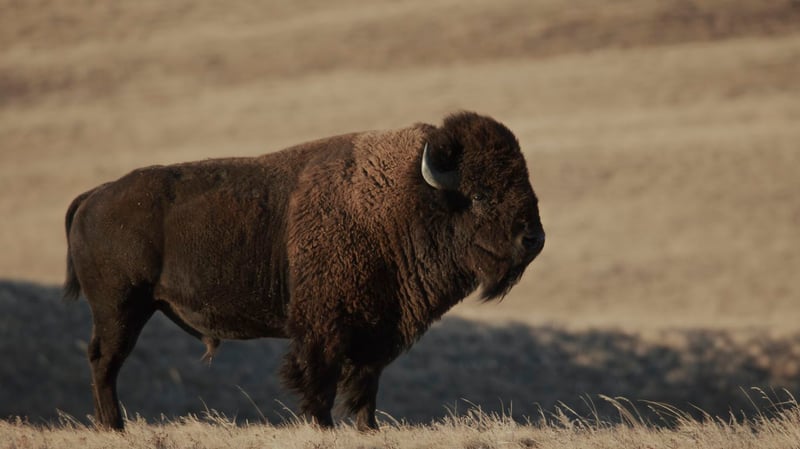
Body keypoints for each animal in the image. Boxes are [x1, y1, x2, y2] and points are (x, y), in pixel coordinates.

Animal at [63, 111, 545, 431]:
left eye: (525, 183)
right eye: (480, 194)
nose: (533, 239)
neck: (406, 198)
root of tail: (94, 196)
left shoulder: (376, 334)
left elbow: (365, 388)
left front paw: (368, 430)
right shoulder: (322, 331)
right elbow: (320, 385)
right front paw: (323, 427)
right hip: (120, 309)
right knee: (105, 362)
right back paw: (113, 425)